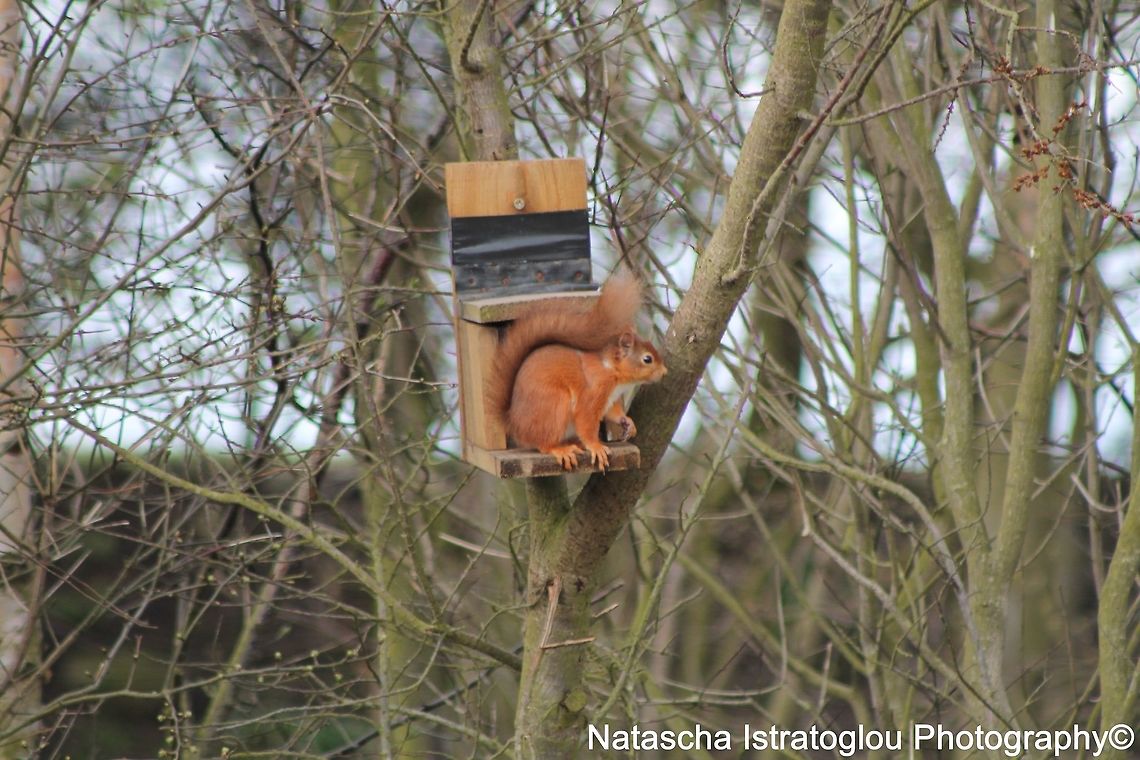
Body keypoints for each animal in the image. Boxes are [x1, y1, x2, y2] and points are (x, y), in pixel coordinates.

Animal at [487, 268, 667, 471]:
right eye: (647, 359)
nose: (664, 372)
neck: (612, 372)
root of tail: (513, 422)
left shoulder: (609, 399)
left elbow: (613, 413)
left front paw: (627, 422)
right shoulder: (594, 391)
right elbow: (586, 421)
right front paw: (596, 446)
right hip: (554, 405)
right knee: (543, 443)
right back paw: (561, 450)